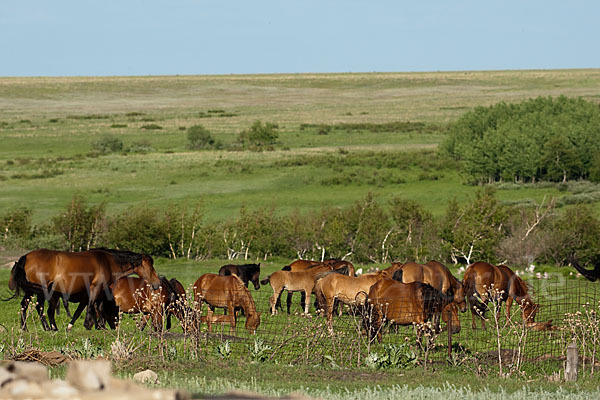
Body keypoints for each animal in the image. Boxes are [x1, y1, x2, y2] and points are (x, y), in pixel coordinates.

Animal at [8, 247, 162, 332]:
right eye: (150, 267)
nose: (157, 283)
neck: (107, 261)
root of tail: (26, 257)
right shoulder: (96, 288)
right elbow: (92, 306)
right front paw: (90, 325)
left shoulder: (101, 291)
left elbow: (97, 308)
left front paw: (99, 326)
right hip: (40, 291)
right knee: (39, 307)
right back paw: (48, 328)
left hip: (31, 291)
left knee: (24, 305)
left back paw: (25, 328)